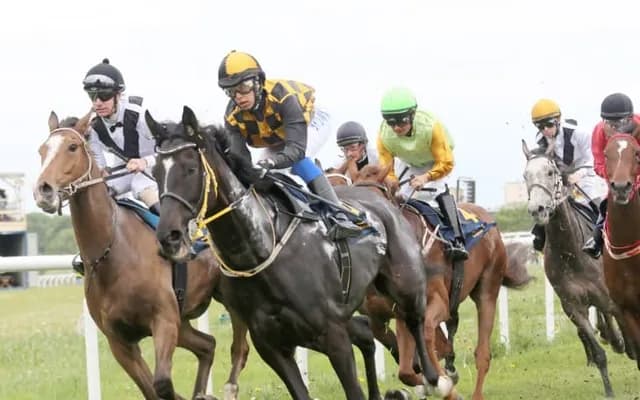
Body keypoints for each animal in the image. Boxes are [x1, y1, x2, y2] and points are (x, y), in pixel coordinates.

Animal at [33, 112, 250, 400]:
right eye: (42, 150)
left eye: (72, 146)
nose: (43, 190)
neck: (113, 253)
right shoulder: (120, 341)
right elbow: (152, 389)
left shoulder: (164, 321)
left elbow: (163, 385)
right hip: (184, 322)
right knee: (208, 345)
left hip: (229, 297)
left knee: (239, 348)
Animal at [147, 105, 455, 400]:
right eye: (156, 173)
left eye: (190, 169)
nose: (169, 236)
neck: (261, 250)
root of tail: (382, 202)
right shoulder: (271, 345)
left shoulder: (332, 333)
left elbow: (353, 390)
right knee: (369, 335)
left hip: (406, 285)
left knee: (415, 321)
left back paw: (435, 379)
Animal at [343, 161, 532, 400]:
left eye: (384, 195)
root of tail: (489, 220)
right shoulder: (389, 315)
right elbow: (407, 369)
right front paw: (424, 385)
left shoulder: (437, 302)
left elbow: (427, 337)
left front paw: (443, 384)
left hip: (488, 288)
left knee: (482, 353)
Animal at [521, 139, 626, 397]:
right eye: (525, 175)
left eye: (550, 172)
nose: (537, 209)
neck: (572, 252)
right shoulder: (573, 307)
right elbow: (598, 352)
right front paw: (609, 390)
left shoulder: (610, 298)